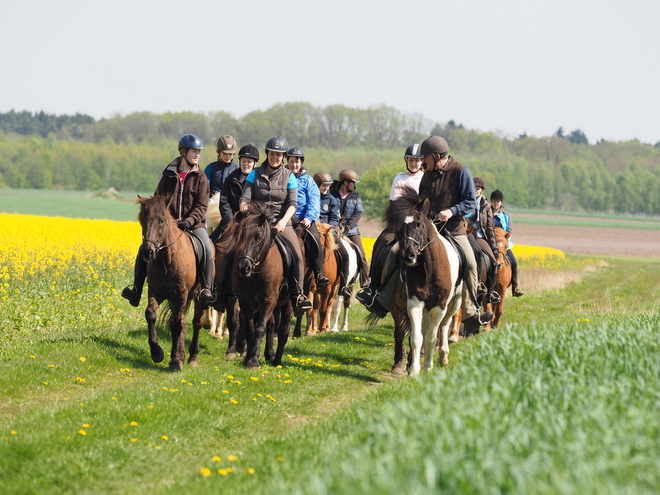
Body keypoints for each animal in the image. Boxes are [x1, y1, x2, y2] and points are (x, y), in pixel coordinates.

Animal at [136, 196, 204, 370]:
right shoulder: (155, 291)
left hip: (198, 298)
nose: (148, 252)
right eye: (143, 220)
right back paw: (182, 355)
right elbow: (151, 315)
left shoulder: (182, 294)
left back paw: (192, 357)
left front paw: (174, 361)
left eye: (161, 221)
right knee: (182, 322)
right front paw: (156, 352)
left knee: (196, 323)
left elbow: (175, 325)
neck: (167, 260)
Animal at [232, 202, 294, 368]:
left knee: (283, 331)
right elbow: (250, 329)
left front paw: (253, 361)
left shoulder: (268, 300)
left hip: (288, 303)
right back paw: (268, 354)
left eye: (258, 237)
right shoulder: (246, 301)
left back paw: (277, 360)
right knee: (271, 326)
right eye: (240, 236)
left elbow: (260, 328)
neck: (257, 271)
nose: (244, 268)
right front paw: (249, 357)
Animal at [382, 192, 464, 378]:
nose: (408, 256)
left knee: (444, 326)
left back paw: (443, 356)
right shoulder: (415, 302)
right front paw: (414, 369)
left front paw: (427, 366)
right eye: (399, 227)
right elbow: (417, 337)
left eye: (418, 224)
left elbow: (431, 337)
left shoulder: (440, 305)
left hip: (455, 302)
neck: (429, 268)